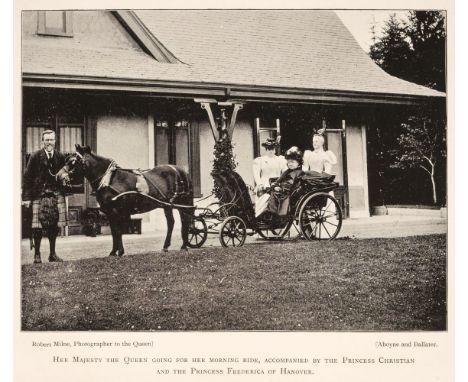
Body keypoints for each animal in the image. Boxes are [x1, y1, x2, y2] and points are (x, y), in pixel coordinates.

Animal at [58, 144, 194, 256]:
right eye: (67, 160)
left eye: (73, 161)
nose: (59, 176)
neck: (110, 180)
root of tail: (182, 171)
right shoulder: (109, 212)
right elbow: (114, 232)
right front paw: (114, 252)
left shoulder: (117, 211)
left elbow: (118, 231)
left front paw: (119, 251)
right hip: (167, 205)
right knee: (173, 222)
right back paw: (170, 246)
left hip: (181, 202)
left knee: (184, 220)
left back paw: (183, 245)